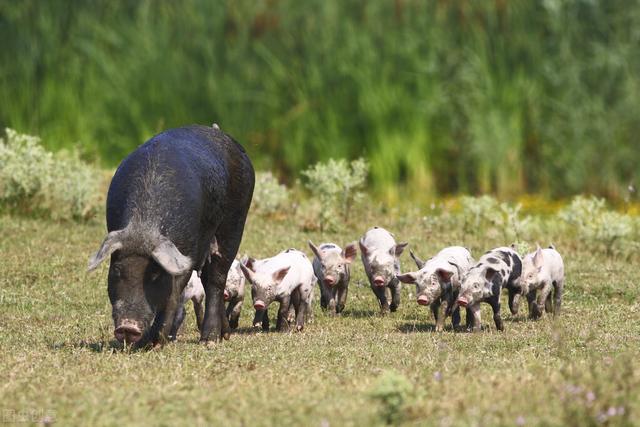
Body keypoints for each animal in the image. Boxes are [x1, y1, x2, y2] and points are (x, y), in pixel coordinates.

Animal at [85, 124, 255, 348]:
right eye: (117, 271)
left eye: (155, 274)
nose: (127, 327)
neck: (144, 226)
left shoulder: (185, 251)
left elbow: (174, 293)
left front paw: (156, 343)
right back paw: (224, 335)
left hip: (235, 221)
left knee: (216, 279)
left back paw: (209, 340)